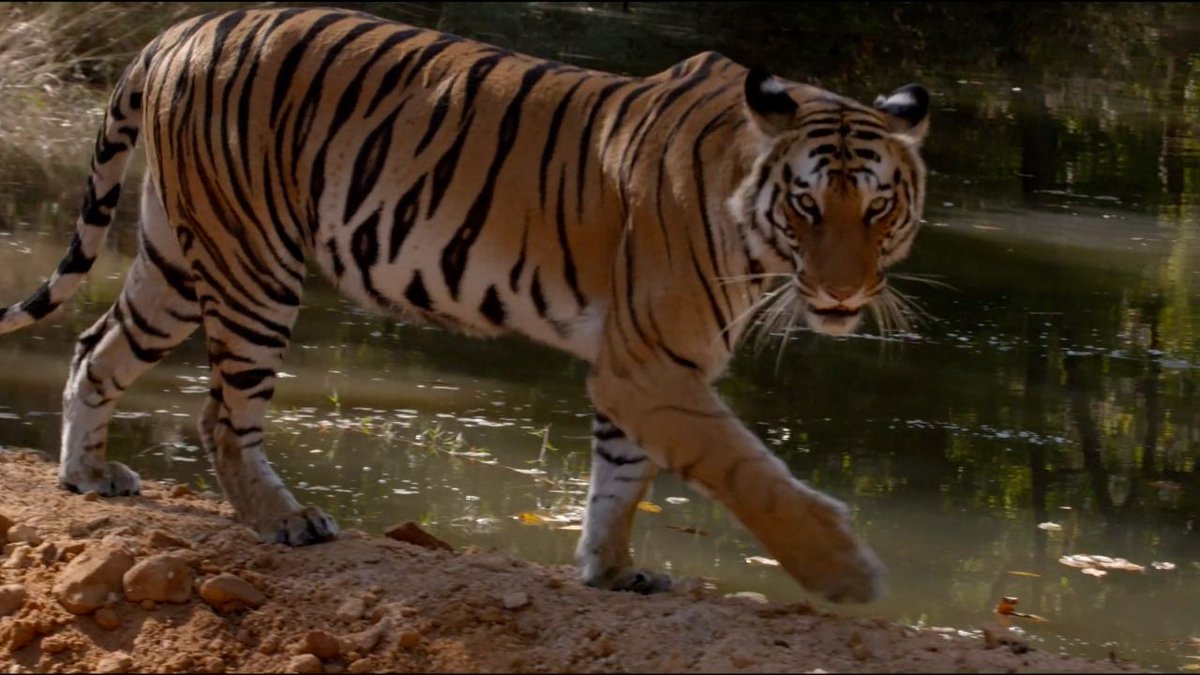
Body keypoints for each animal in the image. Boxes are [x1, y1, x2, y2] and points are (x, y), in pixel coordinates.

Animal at [0, 6, 930, 603]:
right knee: (222, 415)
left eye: (878, 207)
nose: (845, 289)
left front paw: (612, 571)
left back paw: (86, 474)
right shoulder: (653, 364)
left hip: (175, 261)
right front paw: (848, 570)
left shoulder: (638, 370)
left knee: (94, 349)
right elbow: (748, 468)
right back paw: (286, 519)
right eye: (808, 205)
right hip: (251, 262)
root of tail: (181, 29)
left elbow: (620, 478)